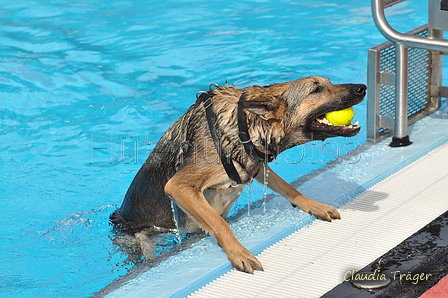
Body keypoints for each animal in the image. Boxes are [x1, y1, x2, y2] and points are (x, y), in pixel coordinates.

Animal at [110, 75, 366, 274]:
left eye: (328, 83)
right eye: (316, 89)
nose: (362, 87)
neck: (245, 123)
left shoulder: (255, 163)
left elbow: (288, 188)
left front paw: (313, 205)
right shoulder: (178, 185)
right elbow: (219, 223)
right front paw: (238, 252)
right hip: (143, 242)